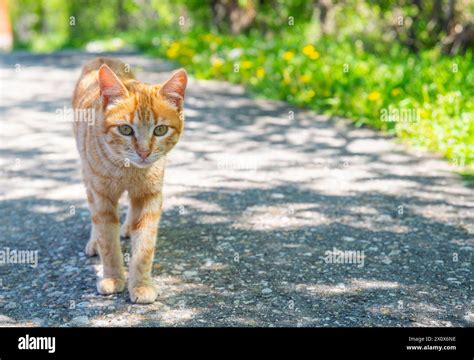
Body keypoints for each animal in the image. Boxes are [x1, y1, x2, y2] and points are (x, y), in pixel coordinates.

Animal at [72, 57, 187, 302]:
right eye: (125, 129)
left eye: (160, 130)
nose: (143, 152)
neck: (127, 171)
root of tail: (102, 58)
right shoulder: (101, 196)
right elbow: (108, 242)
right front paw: (113, 277)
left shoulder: (149, 196)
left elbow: (144, 246)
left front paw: (141, 284)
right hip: (88, 177)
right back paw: (94, 242)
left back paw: (126, 227)